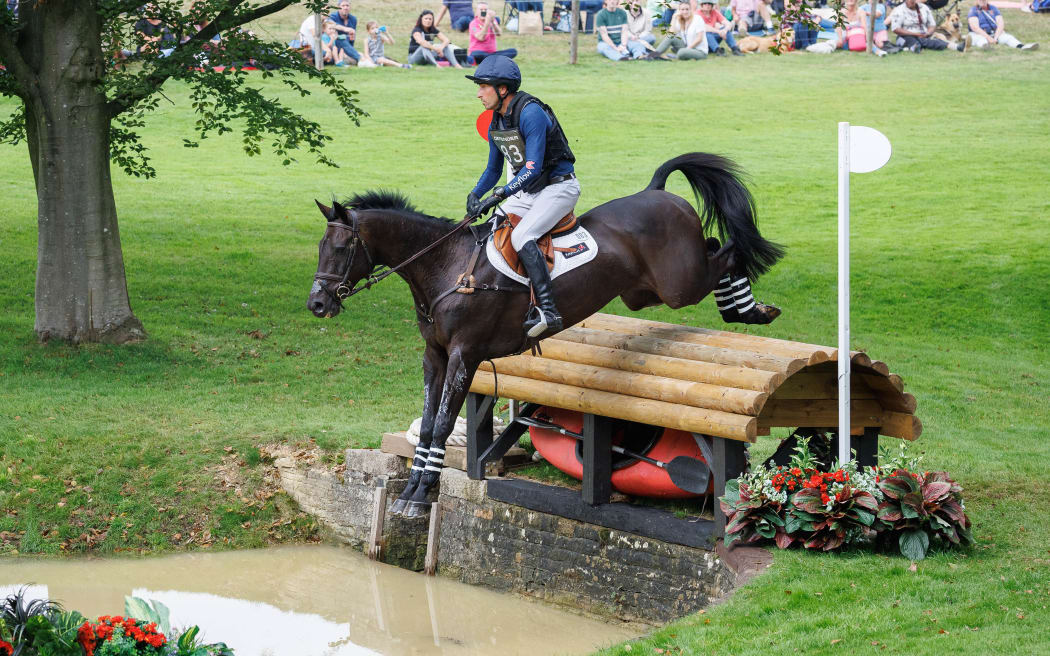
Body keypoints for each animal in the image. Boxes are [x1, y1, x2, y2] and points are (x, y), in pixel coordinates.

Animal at [304, 152, 781, 516]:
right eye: (320, 247)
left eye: (342, 248)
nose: (317, 305)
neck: (445, 267)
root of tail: (657, 191)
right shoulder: (435, 355)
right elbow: (425, 427)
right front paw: (409, 493)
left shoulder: (464, 356)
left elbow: (440, 427)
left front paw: (422, 497)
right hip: (642, 294)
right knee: (716, 246)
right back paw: (744, 307)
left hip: (679, 285)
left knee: (727, 250)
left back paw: (750, 310)